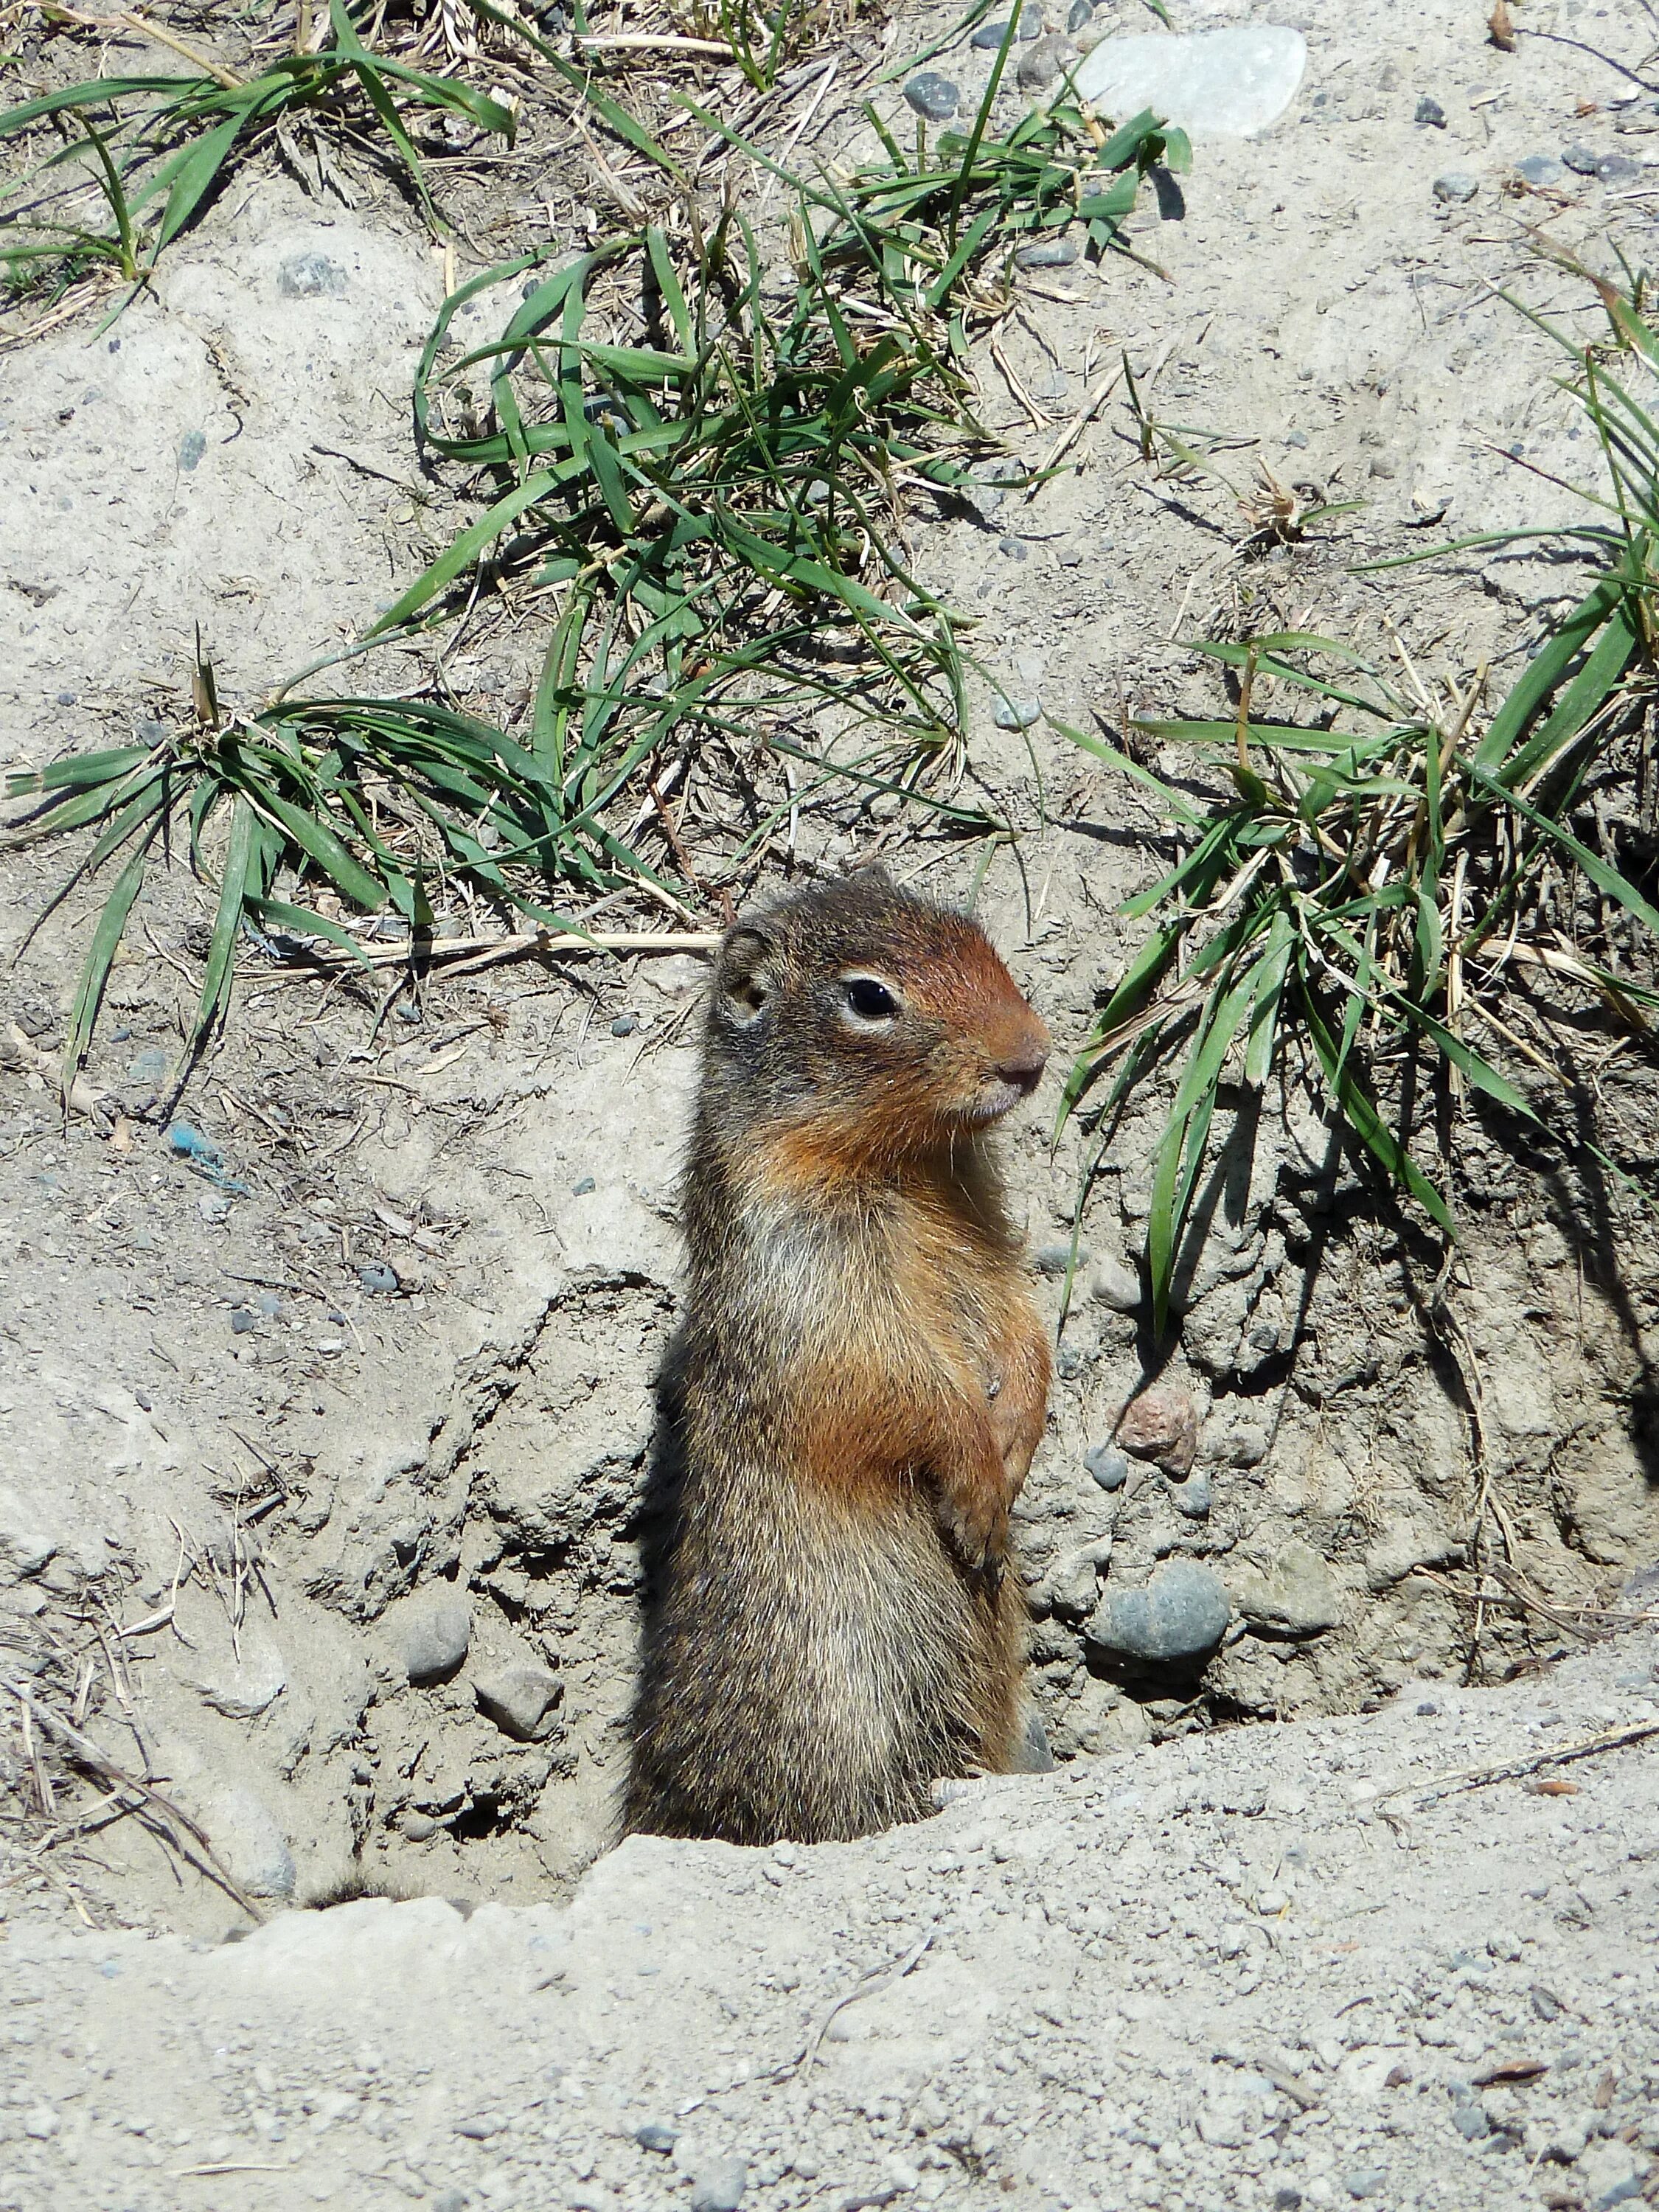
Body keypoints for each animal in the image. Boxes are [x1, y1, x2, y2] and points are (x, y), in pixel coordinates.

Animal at [624, 872, 1053, 1840]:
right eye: (868, 998)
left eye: (978, 936)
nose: (1032, 1055)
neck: (911, 1165)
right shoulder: (811, 1282)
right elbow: (896, 1387)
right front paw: (978, 1496)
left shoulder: (990, 1242)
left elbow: (1025, 1328)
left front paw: (1013, 1451)